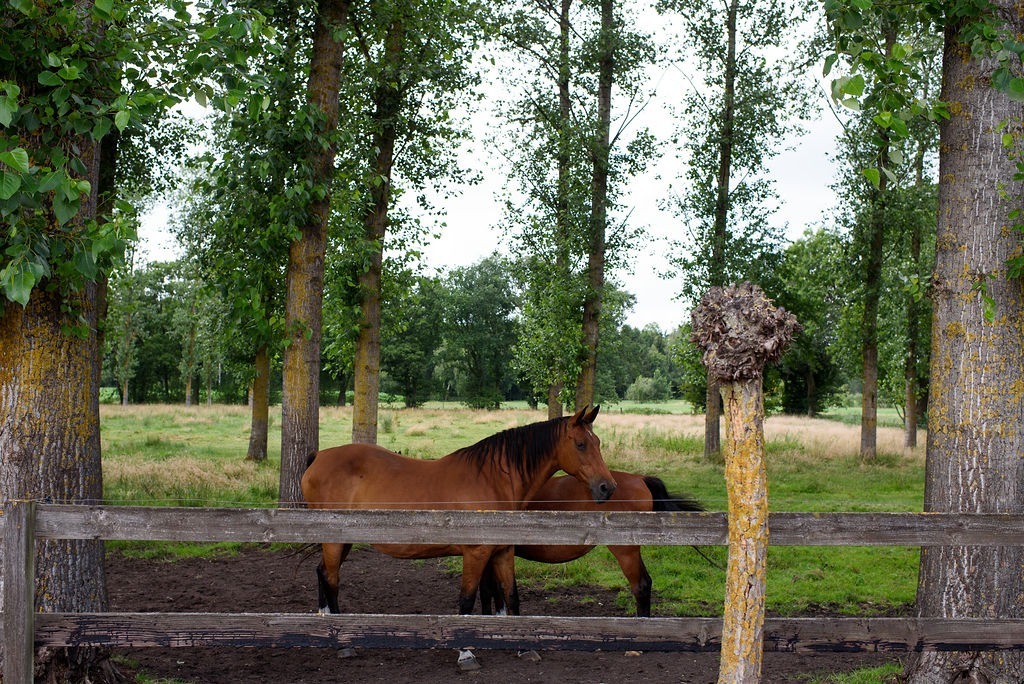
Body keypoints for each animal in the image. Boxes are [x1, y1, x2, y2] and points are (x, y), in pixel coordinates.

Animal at [299, 403, 614, 618]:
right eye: (581, 444)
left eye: (598, 443)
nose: (607, 487)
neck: (492, 479)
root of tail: (318, 457)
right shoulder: (475, 554)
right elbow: (467, 602)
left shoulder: (502, 552)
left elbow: (511, 599)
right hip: (334, 541)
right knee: (331, 579)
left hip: (342, 541)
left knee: (323, 573)